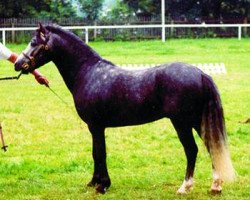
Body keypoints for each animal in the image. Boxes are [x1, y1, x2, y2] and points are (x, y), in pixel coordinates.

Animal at [15, 24, 234, 195]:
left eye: (34, 42)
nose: (18, 64)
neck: (88, 72)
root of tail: (200, 73)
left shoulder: (96, 126)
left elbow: (100, 153)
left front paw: (102, 186)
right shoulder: (94, 127)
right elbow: (95, 153)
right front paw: (93, 182)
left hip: (181, 122)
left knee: (192, 150)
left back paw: (185, 187)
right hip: (197, 121)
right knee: (211, 146)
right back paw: (215, 186)